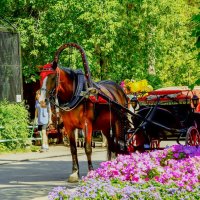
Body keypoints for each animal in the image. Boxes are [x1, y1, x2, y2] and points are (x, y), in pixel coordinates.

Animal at [39, 43, 129, 182]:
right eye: (41, 77)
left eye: (52, 77)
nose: (42, 101)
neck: (77, 93)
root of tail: (119, 89)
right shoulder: (69, 127)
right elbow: (73, 149)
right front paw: (74, 173)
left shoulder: (87, 125)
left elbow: (87, 148)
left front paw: (91, 172)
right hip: (105, 125)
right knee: (110, 142)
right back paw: (109, 165)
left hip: (118, 122)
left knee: (118, 142)